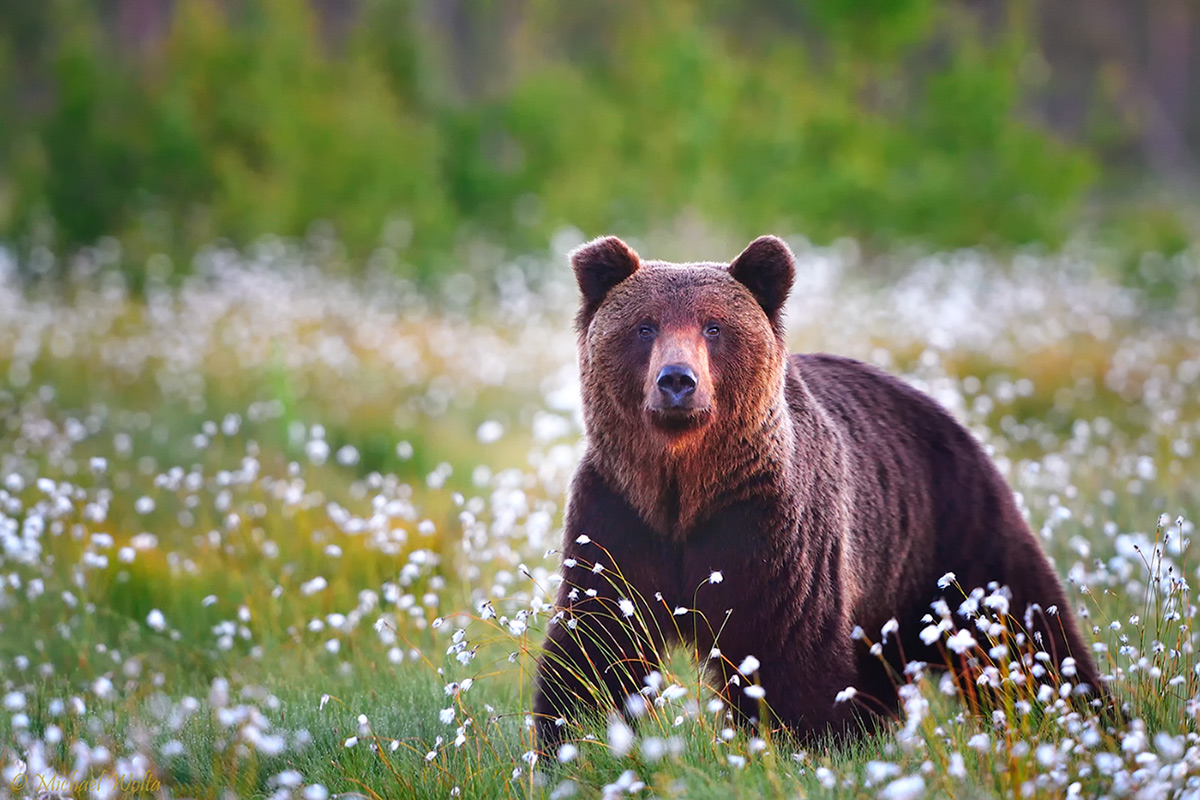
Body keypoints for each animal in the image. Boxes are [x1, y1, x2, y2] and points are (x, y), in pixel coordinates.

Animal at [535, 235, 1104, 748]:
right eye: (644, 326)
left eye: (714, 327)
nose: (677, 381)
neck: (685, 491)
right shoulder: (618, 514)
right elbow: (597, 638)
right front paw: (571, 737)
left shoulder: (768, 524)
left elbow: (785, 646)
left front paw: (805, 739)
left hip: (953, 528)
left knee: (1020, 625)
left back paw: (1085, 714)